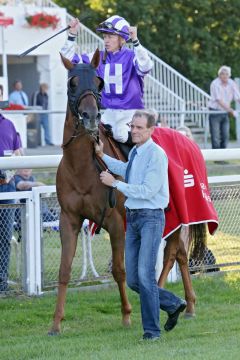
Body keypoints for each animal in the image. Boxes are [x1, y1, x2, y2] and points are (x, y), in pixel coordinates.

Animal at [49, 48, 203, 334]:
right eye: (72, 83)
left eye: (98, 82)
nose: (90, 116)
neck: (82, 166)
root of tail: (188, 138)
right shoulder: (69, 219)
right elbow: (64, 270)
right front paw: (55, 323)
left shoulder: (116, 221)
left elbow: (120, 270)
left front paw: (127, 315)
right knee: (178, 254)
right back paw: (184, 305)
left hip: (179, 213)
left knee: (172, 254)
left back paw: (170, 300)